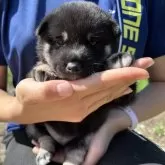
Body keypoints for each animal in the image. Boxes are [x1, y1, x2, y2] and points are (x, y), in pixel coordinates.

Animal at [26, 1, 135, 165]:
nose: (73, 66)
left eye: (94, 41)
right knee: (44, 137)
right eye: (59, 41)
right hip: (32, 125)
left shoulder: (118, 99)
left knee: (75, 152)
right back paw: (44, 152)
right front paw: (44, 69)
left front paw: (118, 58)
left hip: (86, 134)